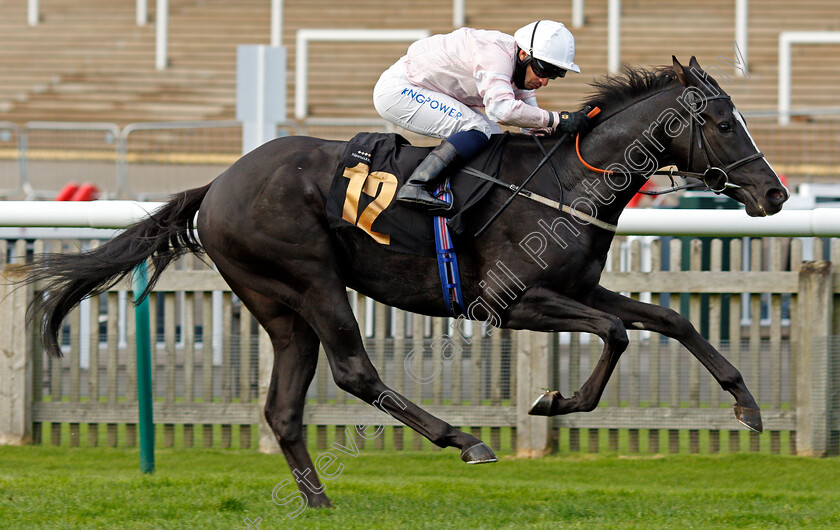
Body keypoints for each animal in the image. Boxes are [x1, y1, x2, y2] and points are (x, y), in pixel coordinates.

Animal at [21, 55, 788, 506]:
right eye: (724, 122)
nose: (774, 194)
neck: (568, 179)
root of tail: (216, 186)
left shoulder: (578, 287)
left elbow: (669, 320)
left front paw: (748, 407)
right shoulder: (514, 301)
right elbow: (618, 333)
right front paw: (555, 401)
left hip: (278, 305)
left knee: (284, 406)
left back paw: (319, 501)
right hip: (313, 279)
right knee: (355, 372)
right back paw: (464, 441)